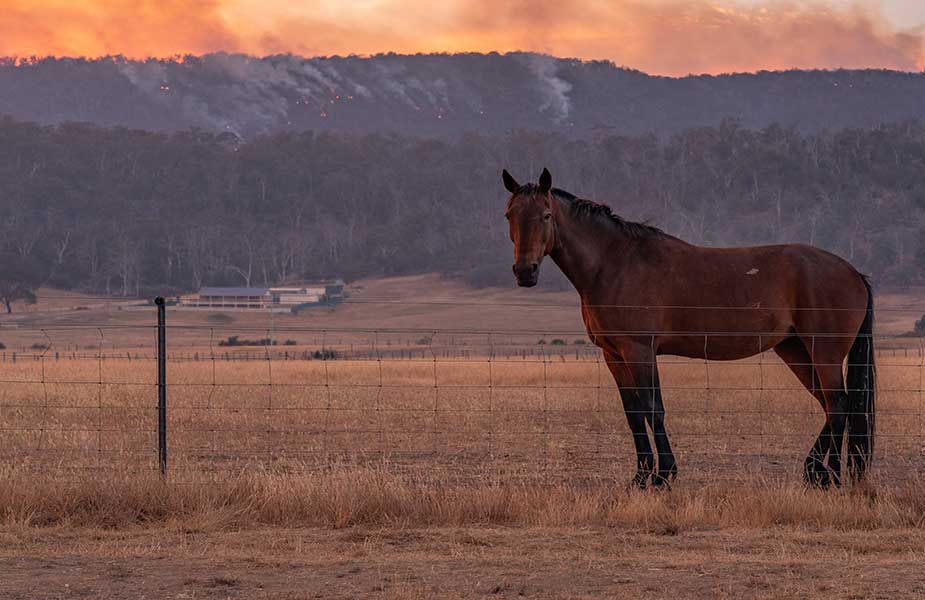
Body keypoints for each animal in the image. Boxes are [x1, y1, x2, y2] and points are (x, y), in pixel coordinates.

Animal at [506, 168, 872, 488]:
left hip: (824, 352)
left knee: (839, 404)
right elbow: (633, 414)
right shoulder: (615, 355)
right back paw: (818, 472)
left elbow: (653, 410)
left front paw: (662, 475)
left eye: (546, 216)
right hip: (794, 349)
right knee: (829, 405)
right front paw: (640, 476)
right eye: (510, 215)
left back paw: (829, 474)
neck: (614, 264)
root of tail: (854, 272)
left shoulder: (639, 350)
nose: (525, 272)